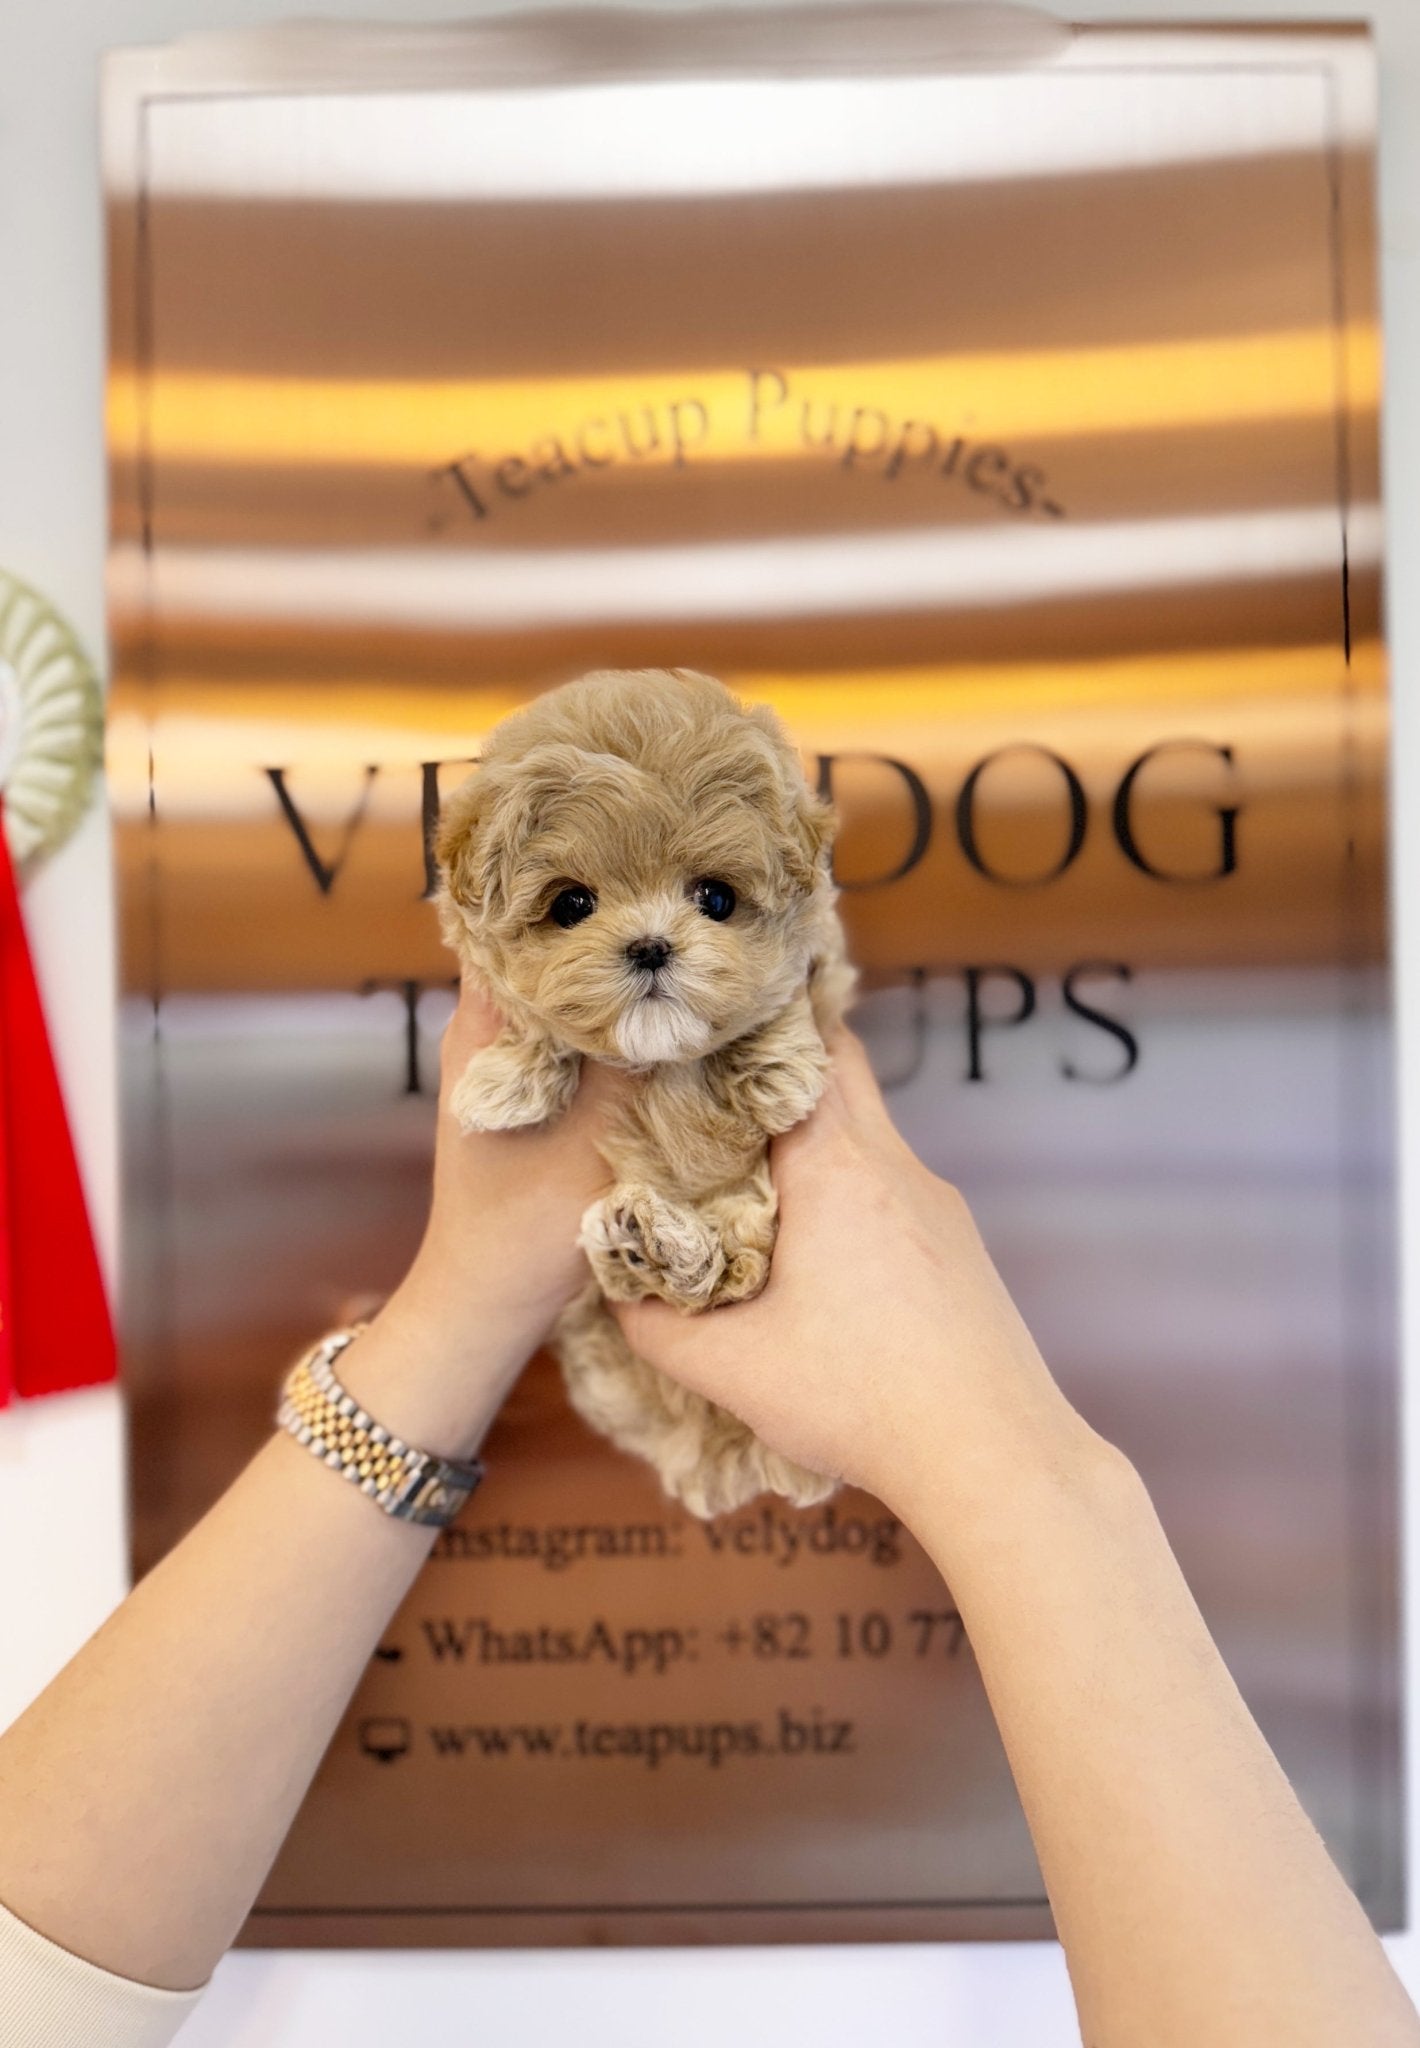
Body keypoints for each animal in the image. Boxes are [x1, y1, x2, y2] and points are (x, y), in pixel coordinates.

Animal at [432, 663, 852, 1515]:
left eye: (716, 898)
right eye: (572, 904)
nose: (652, 946)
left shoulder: (823, 953)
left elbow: (794, 990)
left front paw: (779, 1071)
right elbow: (532, 1021)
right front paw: (506, 1079)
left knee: (734, 1270)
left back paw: (663, 1246)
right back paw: (641, 1246)